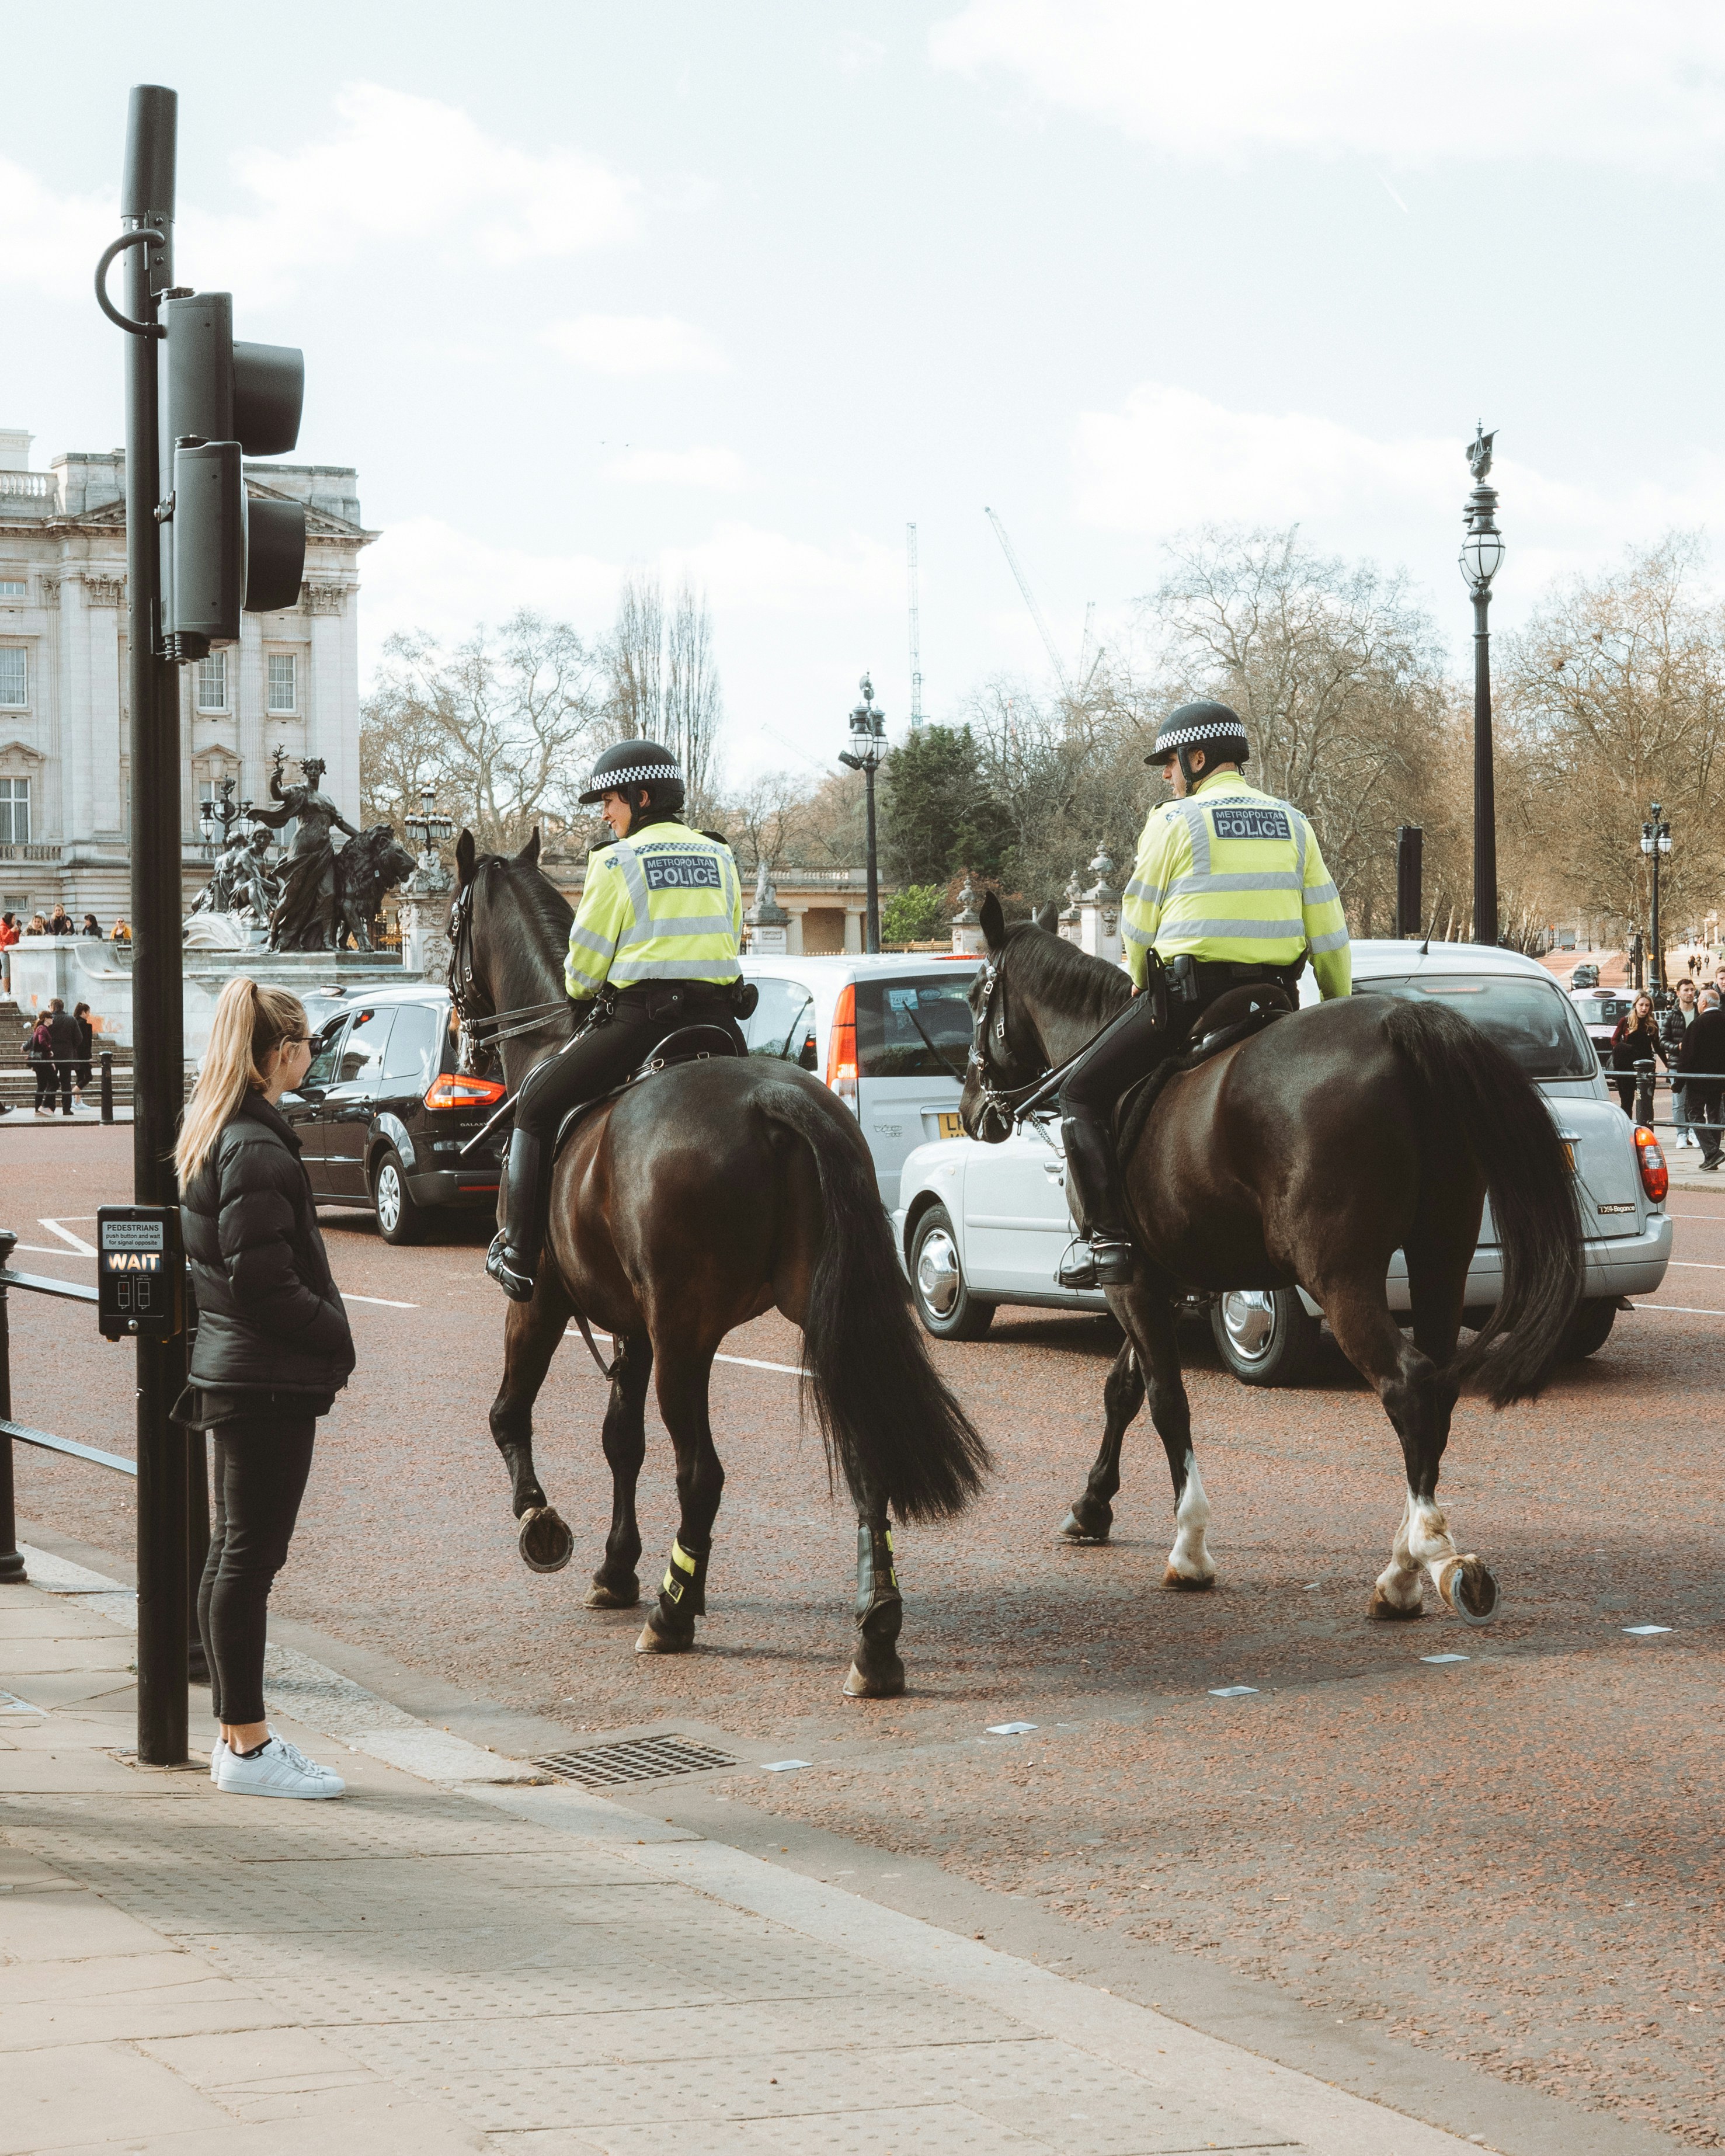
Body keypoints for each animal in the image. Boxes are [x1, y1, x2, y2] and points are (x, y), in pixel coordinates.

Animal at [450, 827, 990, 1697]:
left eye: (453, 918)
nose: (460, 1030)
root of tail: (775, 1099)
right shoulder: (631, 1324)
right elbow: (620, 1440)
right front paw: (617, 1567)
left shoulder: (540, 1301)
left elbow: (509, 1412)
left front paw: (543, 1523)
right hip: (813, 1315)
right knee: (866, 1453)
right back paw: (874, 1637)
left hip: (686, 1332)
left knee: (701, 1472)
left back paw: (673, 1616)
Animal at [959, 893, 1583, 1623]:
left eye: (972, 994)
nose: (972, 1109)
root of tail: (1401, 1021)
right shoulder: (1160, 1278)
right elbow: (1124, 1391)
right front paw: (1090, 1506)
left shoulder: (1131, 1280)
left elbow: (1166, 1399)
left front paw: (1189, 1547)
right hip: (1440, 1256)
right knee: (1438, 1383)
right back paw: (1417, 1555)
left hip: (1338, 1276)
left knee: (1406, 1384)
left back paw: (1414, 1564)